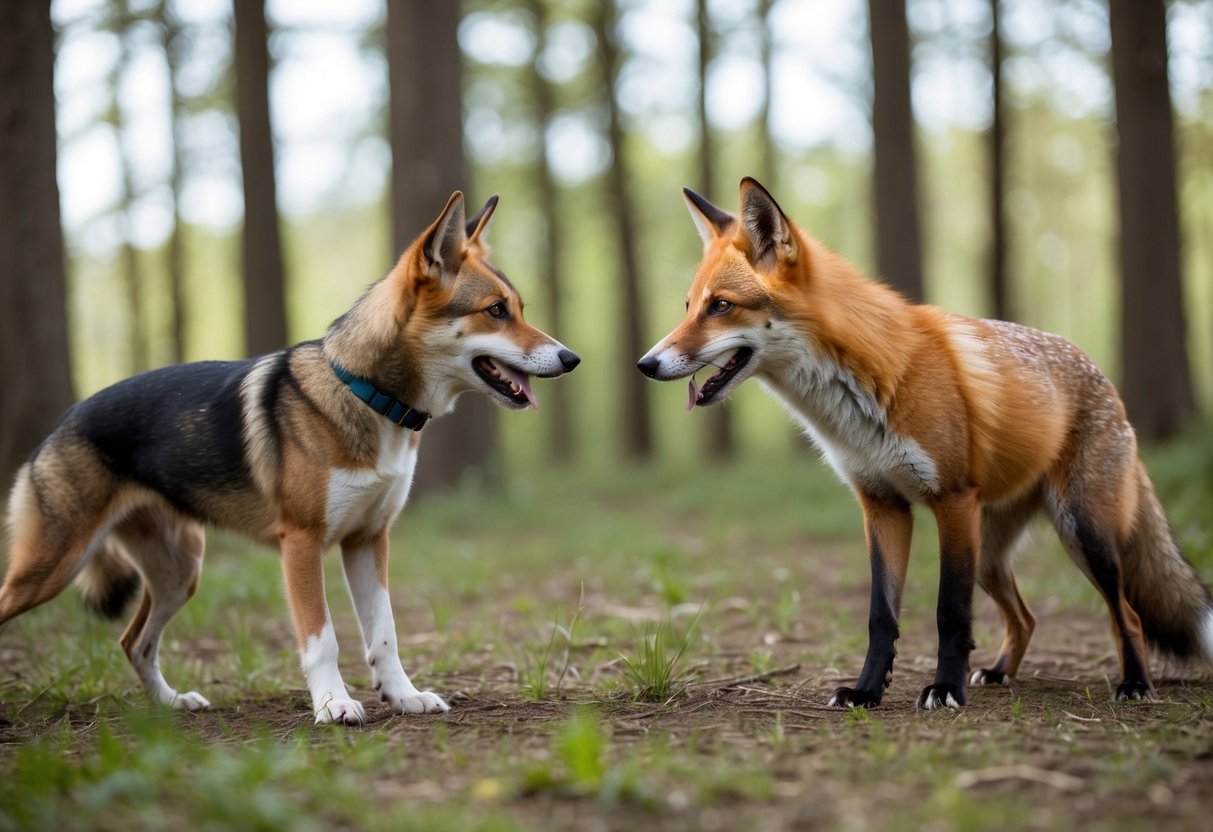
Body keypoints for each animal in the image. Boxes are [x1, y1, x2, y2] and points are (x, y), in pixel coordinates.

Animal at [0, 191, 580, 724]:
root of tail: (60, 425)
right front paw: (333, 705)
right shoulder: (301, 544)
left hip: (180, 571)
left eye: (519, 309)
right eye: (496, 311)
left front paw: (404, 696)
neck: (368, 395)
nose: (572, 358)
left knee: (133, 641)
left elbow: (384, 634)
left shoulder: (368, 540)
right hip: (52, 566)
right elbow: (323, 639)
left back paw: (172, 703)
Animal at [638, 177, 1213, 709]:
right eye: (688, 306)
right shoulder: (882, 505)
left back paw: (1135, 683)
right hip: (991, 555)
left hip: (1083, 534)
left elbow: (949, 612)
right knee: (1026, 618)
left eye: (721, 306)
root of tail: (1108, 385)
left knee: (1128, 615)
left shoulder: (952, 501)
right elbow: (881, 616)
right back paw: (1000, 673)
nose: (646, 363)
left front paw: (944, 690)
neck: (858, 398)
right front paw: (867, 692)